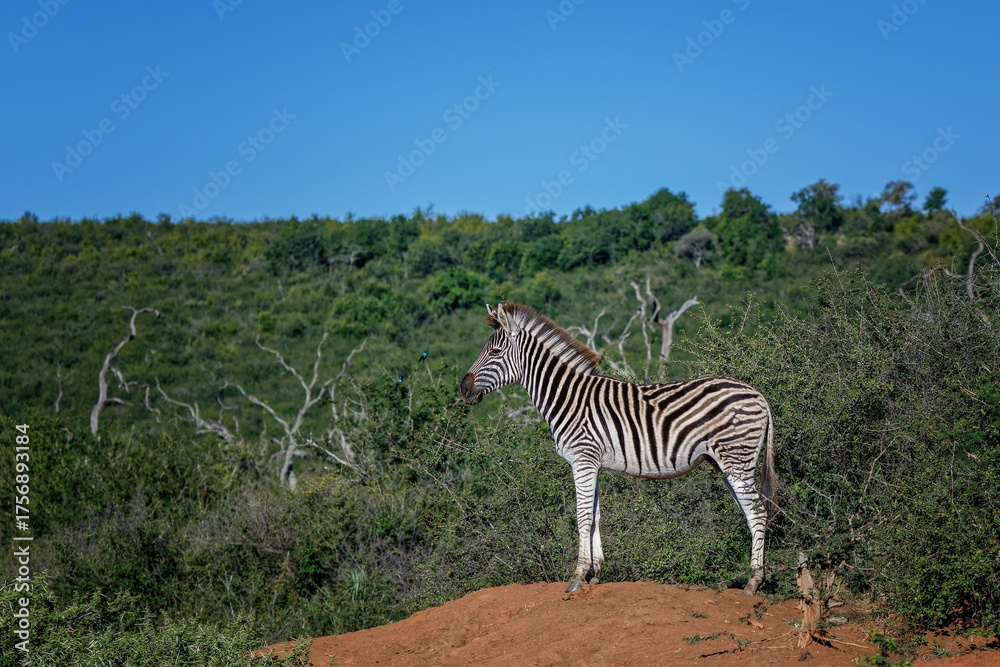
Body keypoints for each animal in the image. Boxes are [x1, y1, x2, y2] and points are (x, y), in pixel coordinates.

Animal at [459, 302, 777, 595]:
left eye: (495, 353)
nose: (463, 389)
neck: (567, 398)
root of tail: (757, 393)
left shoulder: (582, 458)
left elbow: (582, 516)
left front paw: (577, 577)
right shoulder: (592, 462)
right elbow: (595, 516)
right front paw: (594, 573)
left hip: (737, 458)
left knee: (758, 513)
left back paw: (753, 583)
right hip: (726, 462)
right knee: (751, 512)